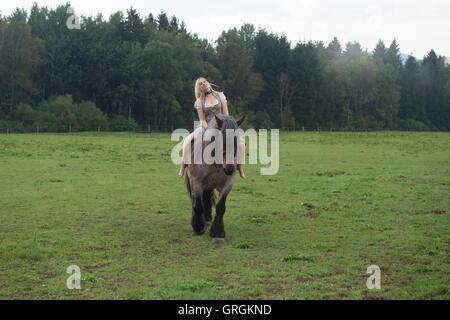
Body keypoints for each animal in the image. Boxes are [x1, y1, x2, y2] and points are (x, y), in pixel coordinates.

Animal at [184, 114, 246, 244]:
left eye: (236, 139)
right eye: (221, 138)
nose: (230, 168)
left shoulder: (227, 184)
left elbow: (220, 207)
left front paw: (217, 233)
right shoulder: (196, 183)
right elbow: (198, 206)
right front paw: (198, 228)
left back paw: (207, 220)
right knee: (195, 201)